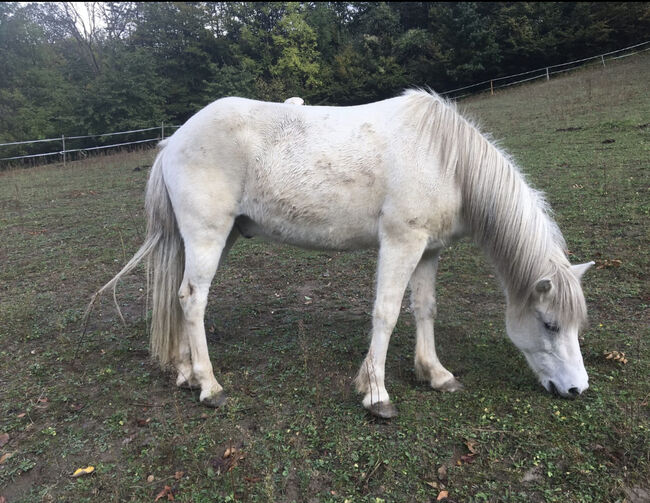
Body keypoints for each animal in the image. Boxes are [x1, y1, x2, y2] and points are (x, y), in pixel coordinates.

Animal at [95, 89, 592, 418]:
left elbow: (424, 309)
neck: (444, 159)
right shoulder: (400, 242)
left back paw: (186, 372)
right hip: (207, 236)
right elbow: (386, 313)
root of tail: (174, 140)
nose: (577, 390)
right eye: (549, 324)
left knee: (179, 297)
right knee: (193, 299)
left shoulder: (427, 250)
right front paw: (376, 394)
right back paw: (209, 385)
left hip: (215, 236)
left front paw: (435, 374)